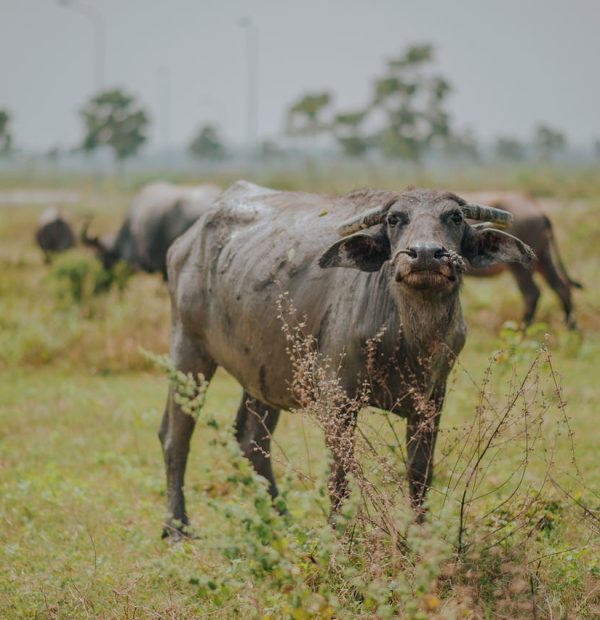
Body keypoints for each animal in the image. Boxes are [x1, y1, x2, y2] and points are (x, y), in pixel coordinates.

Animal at [460, 193, 580, 330]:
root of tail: (538, 210)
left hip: (519, 266)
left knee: (532, 294)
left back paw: (523, 330)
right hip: (543, 258)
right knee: (562, 287)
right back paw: (571, 329)